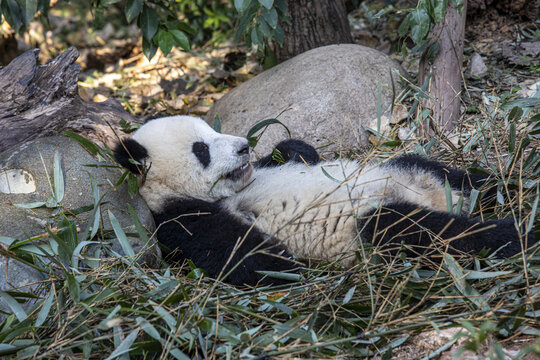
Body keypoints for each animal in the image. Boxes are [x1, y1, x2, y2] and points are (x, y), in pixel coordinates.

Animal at [112, 116, 528, 286]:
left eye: (213, 129)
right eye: (201, 149)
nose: (244, 146)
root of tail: (439, 198)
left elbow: (289, 154)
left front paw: (295, 150)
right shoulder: (181, 218)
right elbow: (243, 256)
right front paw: (285, 265)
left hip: (403, 169)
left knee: (443, 171)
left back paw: (506, 187)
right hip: (369, 224)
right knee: (417, 229)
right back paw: (512, 234)